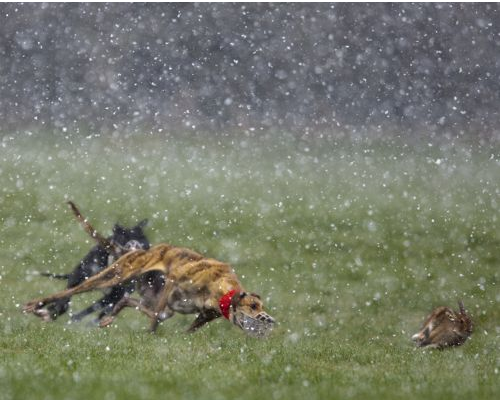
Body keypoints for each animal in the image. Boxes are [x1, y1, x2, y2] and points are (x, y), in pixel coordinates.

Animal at [24, 243, 275, 337]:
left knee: (125, 302)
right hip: (113, 275)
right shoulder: (174, 282)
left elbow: (187, 329)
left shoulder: (204, 314)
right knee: (68, 292)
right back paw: (35, 305)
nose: (269, 319)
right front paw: (150, 334)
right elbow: (155, 317)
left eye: (262, 306)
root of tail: (145, 249)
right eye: (253, 306)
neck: (222, 288)